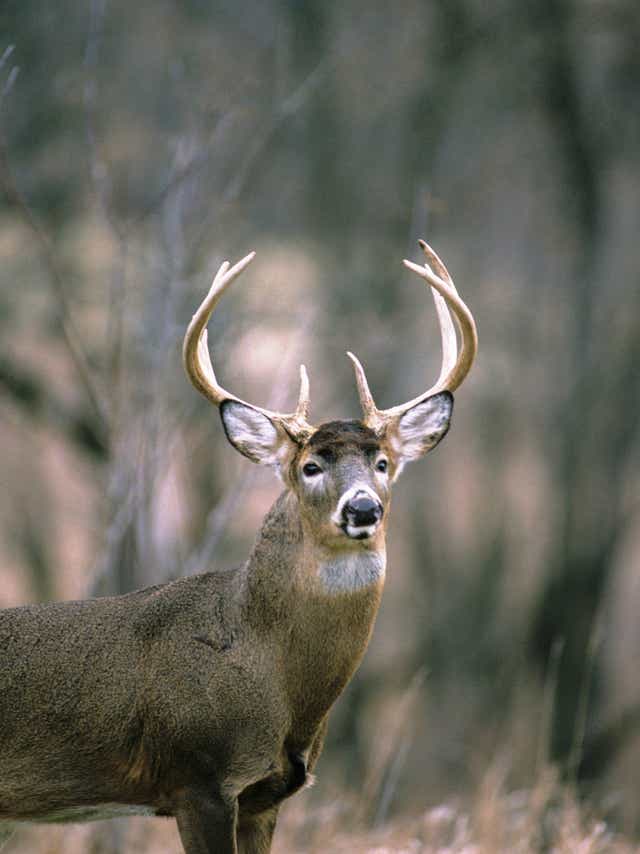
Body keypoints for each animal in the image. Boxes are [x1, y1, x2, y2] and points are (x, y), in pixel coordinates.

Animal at [0, 240, 476, 853]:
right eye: (310, 466)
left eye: (383, 462)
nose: (363, 509)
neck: (269, 669)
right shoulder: (197, 778)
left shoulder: (264, 797)